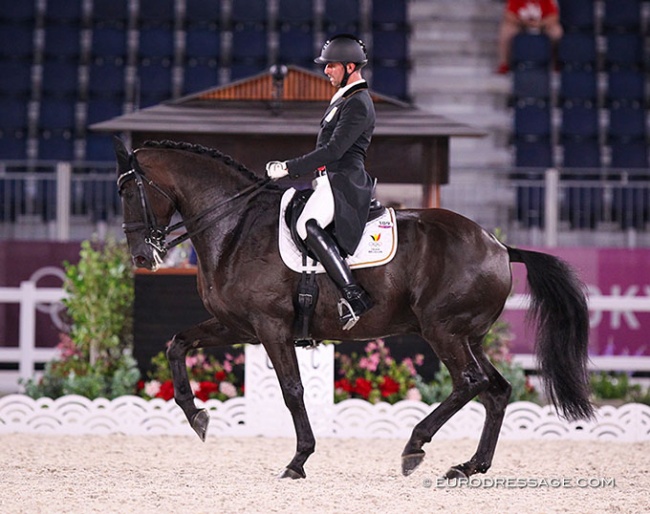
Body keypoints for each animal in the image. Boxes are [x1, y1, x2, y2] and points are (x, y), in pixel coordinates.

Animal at [112, 138, 592, 478]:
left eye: (130, 192)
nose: (140, 256)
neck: (235, 228)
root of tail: (498, 246)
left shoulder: (270, 327)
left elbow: (292, 391)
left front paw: (299, 460)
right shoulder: (237, 326)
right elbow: (177, 344)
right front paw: (197, 416)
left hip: (443, 331)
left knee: (469, 383)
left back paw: (415, 446)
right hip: (467, 335)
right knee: (496, 390)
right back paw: (469, 466)